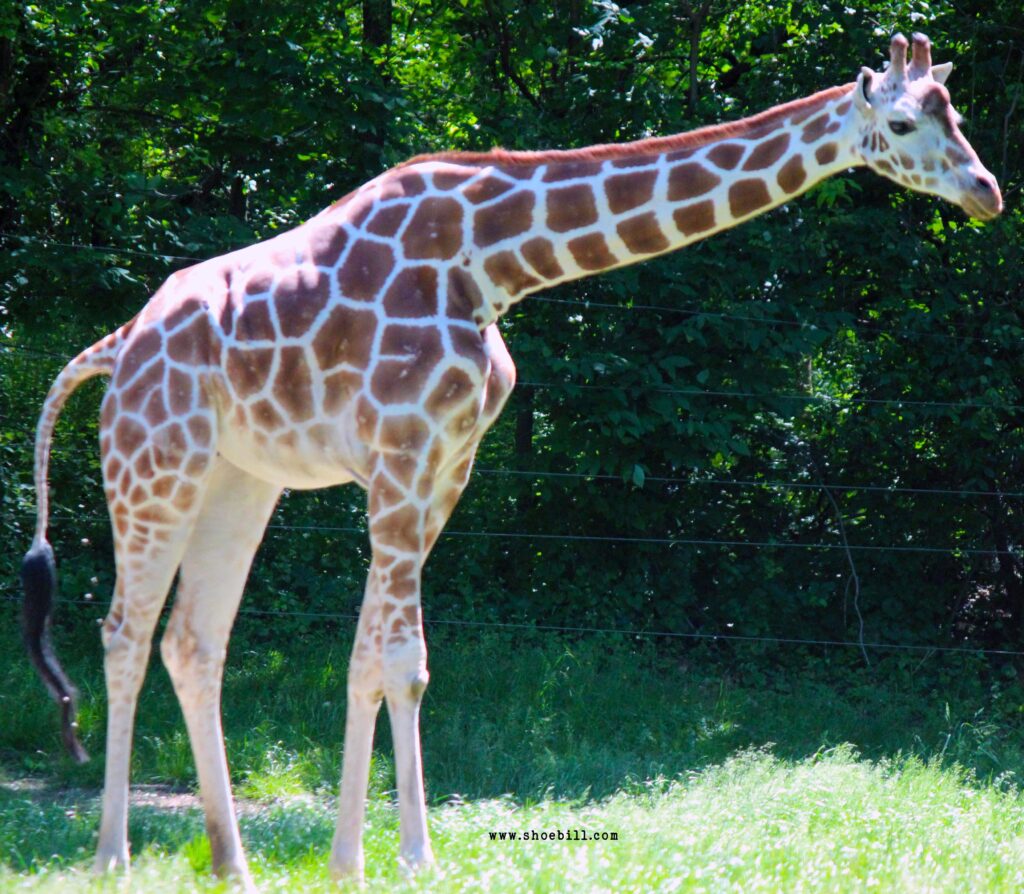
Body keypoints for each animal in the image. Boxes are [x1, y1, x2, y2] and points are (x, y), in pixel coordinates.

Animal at [22, 33, 999, 884]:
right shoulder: (400, 456)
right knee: (124, 631)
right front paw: (395, 860)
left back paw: (233, 865)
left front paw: (369, 860)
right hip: (154, 465)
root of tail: (116, 346)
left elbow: (384, 661)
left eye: (956, 116)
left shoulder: (445, 466)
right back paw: (111, 858)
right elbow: (391, 660)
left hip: (241, 480)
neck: (495, 262)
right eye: (903, 124)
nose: (987, 192)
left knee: (193, 641)